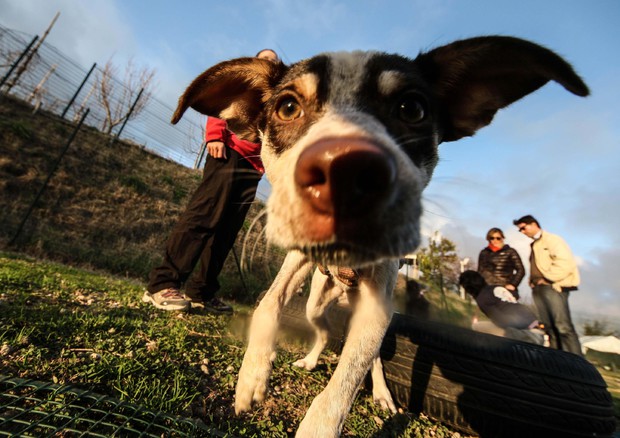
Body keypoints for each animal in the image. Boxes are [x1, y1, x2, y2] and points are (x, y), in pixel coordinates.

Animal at [172, 36, 588, 436]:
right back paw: (310, 359)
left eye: (412, 109)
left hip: (374, 317)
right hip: (317, 304)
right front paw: (251, 379)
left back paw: (383, 394)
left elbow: (346, 381)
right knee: (323, 333)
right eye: (287, 107)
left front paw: (321, 422)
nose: (343, 170)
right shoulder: (298, 257)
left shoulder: (377, 308)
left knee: (368, 361)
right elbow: (268, 303)